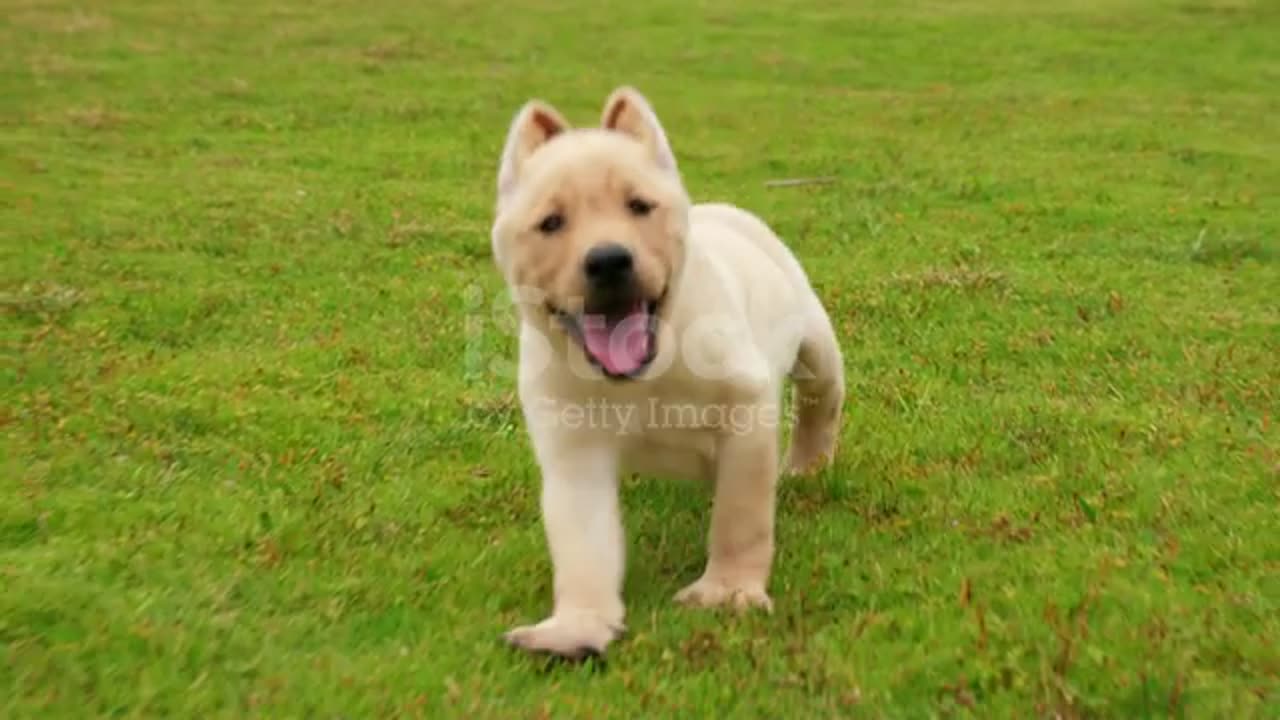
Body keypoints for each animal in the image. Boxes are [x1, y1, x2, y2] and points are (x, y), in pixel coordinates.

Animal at [486, 87, 839, 661]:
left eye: (639, 206)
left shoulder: (745, 409)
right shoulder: (573, 452)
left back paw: (808, 465)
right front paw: (576, 626)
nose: (609, 260)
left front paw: (727, 592)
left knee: (820, 400)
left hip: (816, 342)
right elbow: (583, 543)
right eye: (551, 223)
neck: (644, 373)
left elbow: (740, 516)